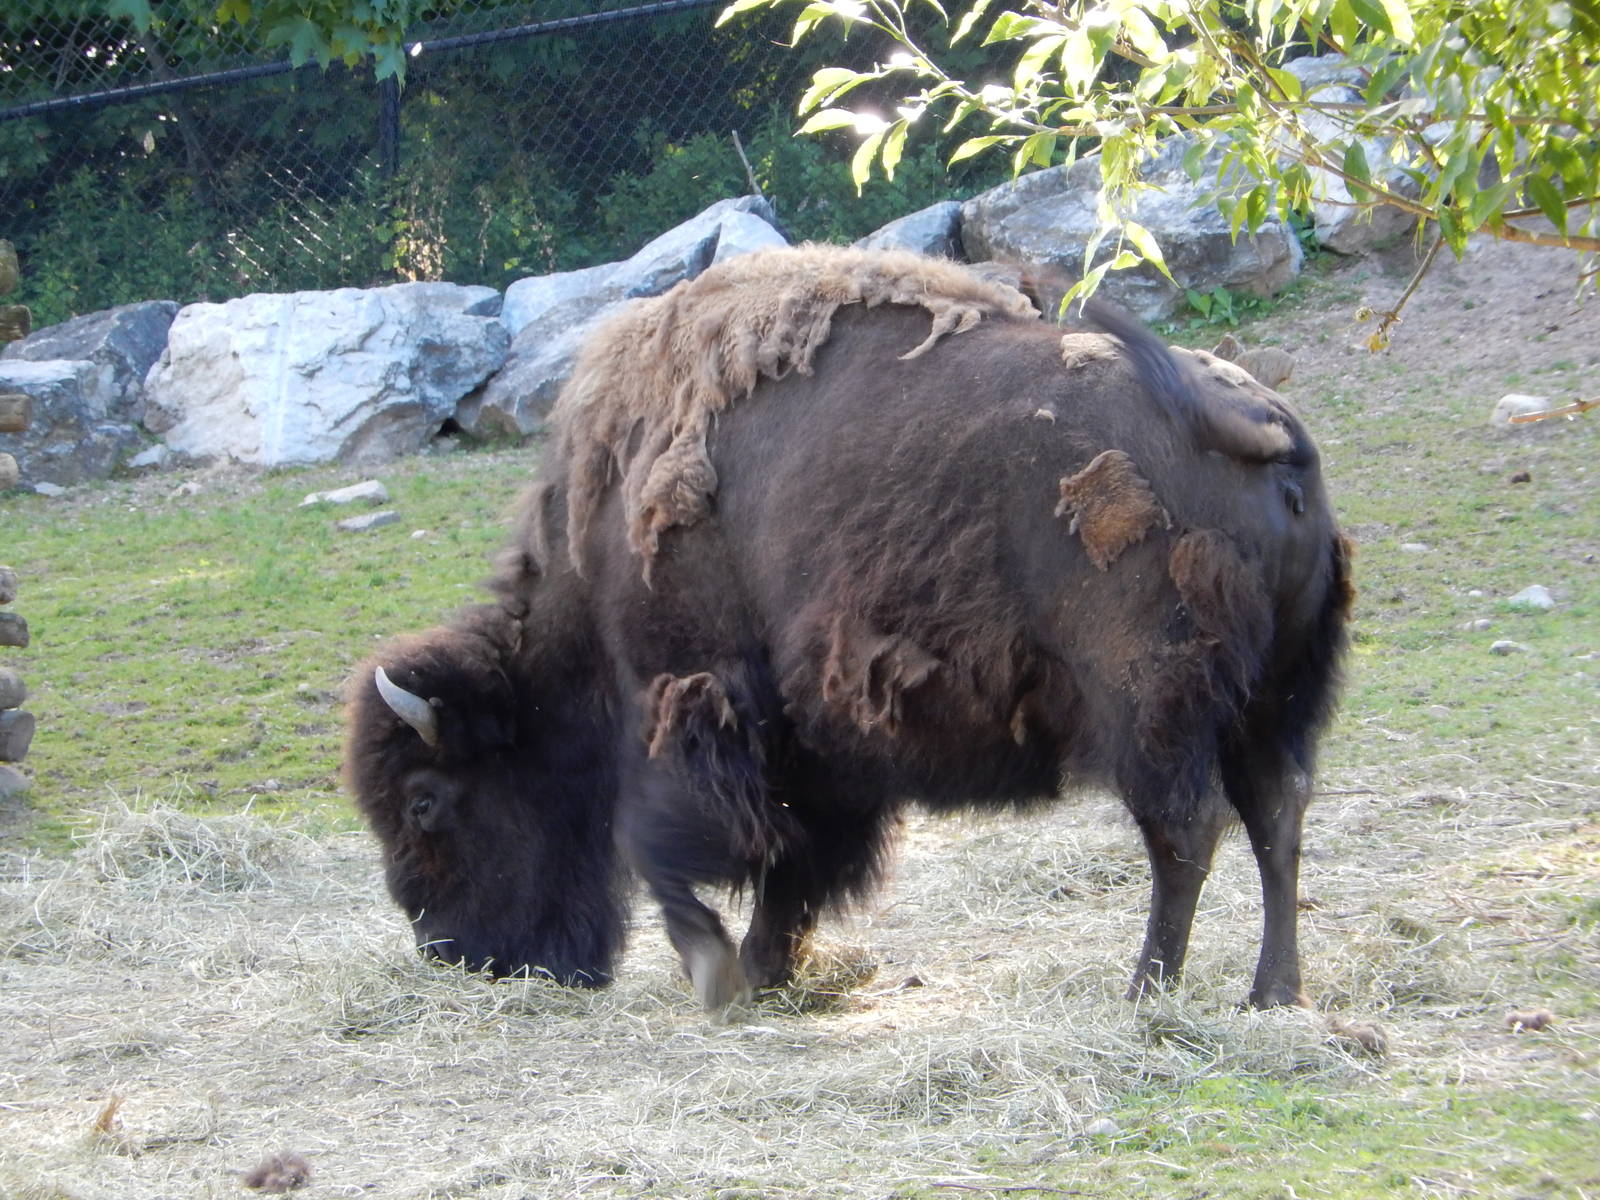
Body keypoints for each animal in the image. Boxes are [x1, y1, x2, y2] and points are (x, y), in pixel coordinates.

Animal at [345, 245, 1351, 1011]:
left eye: (426, 801)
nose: (451, 951)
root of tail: (1236, 414)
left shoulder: (696, 698)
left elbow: (665, 840)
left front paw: (716, 972)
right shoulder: (817, 747)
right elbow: (795, 859)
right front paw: (762, 968)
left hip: (1149, 703)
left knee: (1187, 830)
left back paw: (1145, 993)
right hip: (1274, 699)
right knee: (1276, 816)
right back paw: (1273, 994)